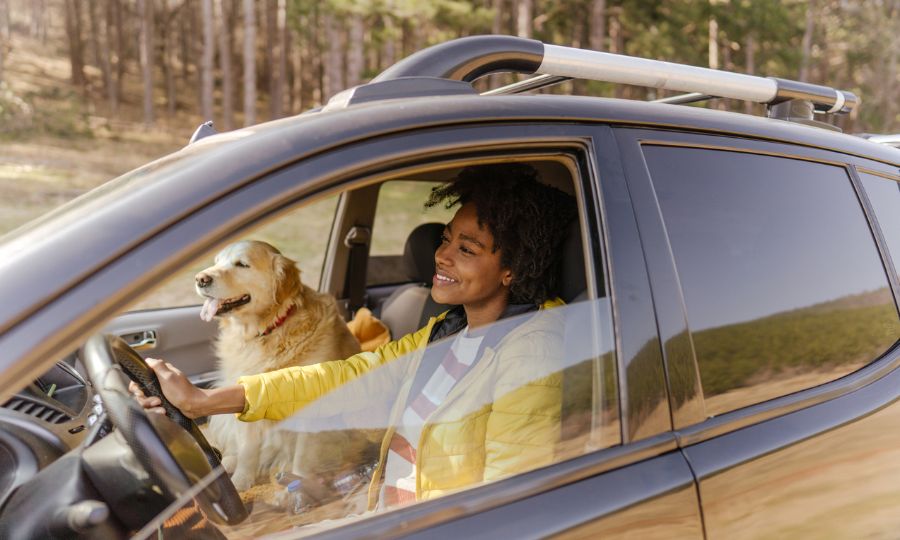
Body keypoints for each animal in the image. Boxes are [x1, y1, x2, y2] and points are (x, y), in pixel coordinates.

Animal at [194, 238, 372, 500]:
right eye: (216, 262)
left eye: (241, 264)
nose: (200, 278)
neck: (269, 330)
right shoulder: (249, 396)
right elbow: (247, 448)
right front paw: (240, 482)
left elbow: (303, 455)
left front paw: (300, 486)